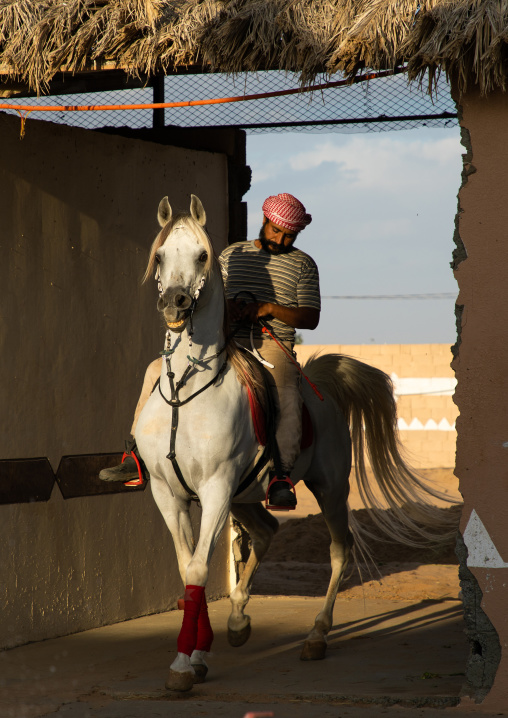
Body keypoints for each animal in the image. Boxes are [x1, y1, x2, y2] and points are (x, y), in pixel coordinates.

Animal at [135, 195, 455, 692]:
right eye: (162, 254)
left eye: (203, 255)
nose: (176, 302)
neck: (188, 391)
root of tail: (318, 387)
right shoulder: (169, 493)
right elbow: (188, 570)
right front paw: (200, 653)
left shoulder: (214, 490)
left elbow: (199, 569)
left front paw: (185, 663)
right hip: (246, 497)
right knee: (267, 531)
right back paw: (238, 621)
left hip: (328, 488)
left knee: (339, 550)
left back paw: (317, 636)